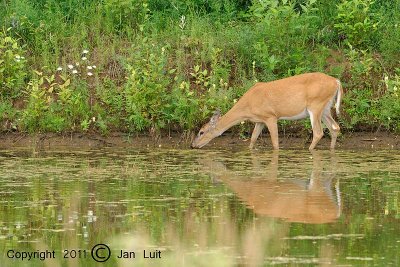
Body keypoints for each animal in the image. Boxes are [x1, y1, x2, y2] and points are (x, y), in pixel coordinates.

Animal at [192, 72, 342, 151]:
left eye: (201, 132)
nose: (192, 144)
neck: (248, 105)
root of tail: (336, 81)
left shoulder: (271, 116)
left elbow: (275, 142)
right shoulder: (260, 120)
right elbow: (253, 138)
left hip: (316, 105)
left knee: (319, 132)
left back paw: (310, 150)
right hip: (326, 108)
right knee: (335, 127)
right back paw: (331, 150)